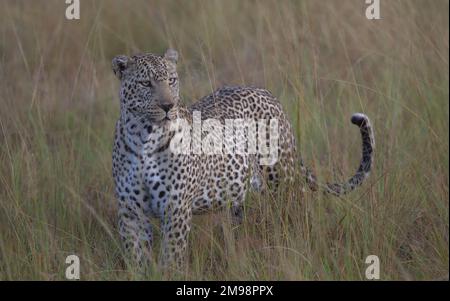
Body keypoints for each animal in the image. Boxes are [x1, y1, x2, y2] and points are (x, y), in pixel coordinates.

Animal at [110, 48, 374, 268]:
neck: (144, 138)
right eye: (146, 83)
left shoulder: (176, 210)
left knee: (297, 215)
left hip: (282, 182)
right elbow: (137, 258)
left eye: (172, 80)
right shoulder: (130, 213)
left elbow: (170, 259)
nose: (168, 106)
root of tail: (267, 94)